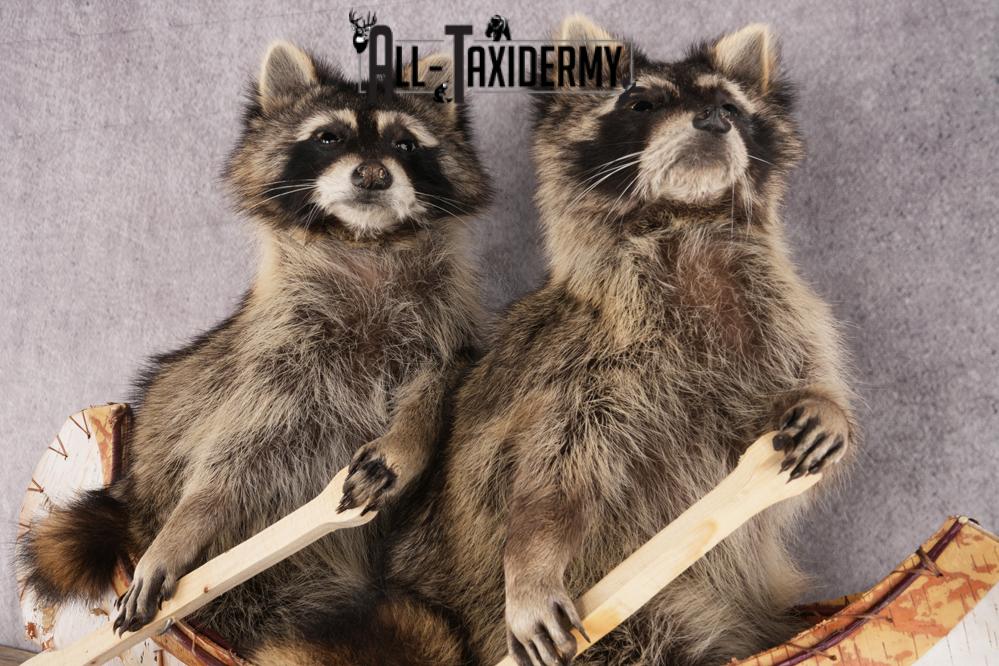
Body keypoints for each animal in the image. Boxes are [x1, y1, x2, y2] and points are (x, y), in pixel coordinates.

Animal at [16, 41, 490, 658]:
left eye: (405, 143)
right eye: (328, 137)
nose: (372, 173)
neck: (363, 243)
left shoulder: (444, 331)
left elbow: (437, 389)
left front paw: (403, 443)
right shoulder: (273, 359)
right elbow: (231, 461)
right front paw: (182, 532)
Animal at [376, 16, 856, 666]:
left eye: (729, 104)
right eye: (642, 103)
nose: (715, 120)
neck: (681, 221)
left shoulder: (777, 315)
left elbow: (799, 401)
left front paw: (826, 407)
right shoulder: (575, 360)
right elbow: (550, 479)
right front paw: (531, 564)